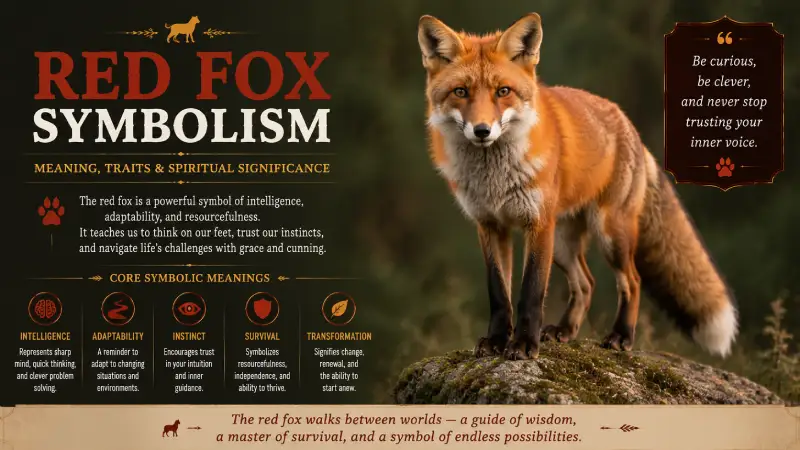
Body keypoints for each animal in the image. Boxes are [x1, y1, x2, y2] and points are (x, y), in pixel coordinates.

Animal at [417, 13, 737, 360]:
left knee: (632, 280)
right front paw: (498, 340)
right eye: (461, 92)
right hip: (562, 243)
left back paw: (621, 336)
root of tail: (632, 129)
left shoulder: (537, 224)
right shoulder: (490, 226)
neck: (495, 179)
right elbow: (499, 293)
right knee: (587, 283)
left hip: (609, 234)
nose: (481, 130)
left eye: (503, 91)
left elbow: (530, 292)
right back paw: (565, 330)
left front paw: (524, 344)